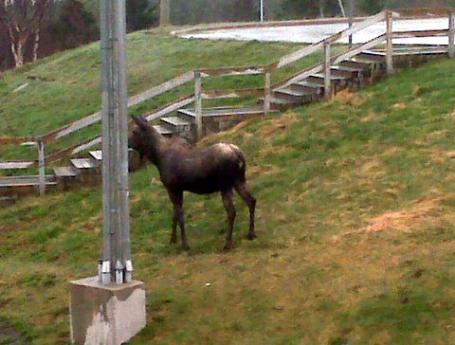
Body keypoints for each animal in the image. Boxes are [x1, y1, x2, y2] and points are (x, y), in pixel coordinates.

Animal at [129, 115, 256, 250]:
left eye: (134, 131)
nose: (127, 142)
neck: (157, 157)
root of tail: (239, 154)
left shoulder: (172, 187)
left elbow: (180, 215)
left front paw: (185, 244)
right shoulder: (177, 189)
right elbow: (175, 214)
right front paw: (172, 240)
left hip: (225, 185)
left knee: (232, 211)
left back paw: (227, 243)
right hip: (239, 180)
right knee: (251, 200)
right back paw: (251, 233)